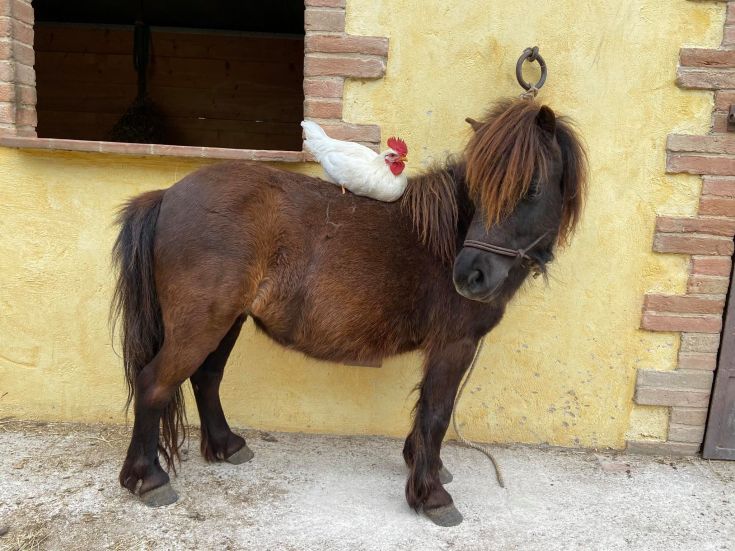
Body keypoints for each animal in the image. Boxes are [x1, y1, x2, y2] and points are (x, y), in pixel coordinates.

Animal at [111, 99, 587, 526]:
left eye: (531, 189)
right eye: (479, 187)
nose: (470, 275)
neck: (447, 236)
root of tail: (167, 195)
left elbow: (426, 410)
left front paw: (424, 465)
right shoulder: (455, 344)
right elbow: (436, 413)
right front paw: (432, 496)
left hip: (227, 320)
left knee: (206, 378)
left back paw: (227, 446)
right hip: (201, 324)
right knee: (154, 383)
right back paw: (148, 479)